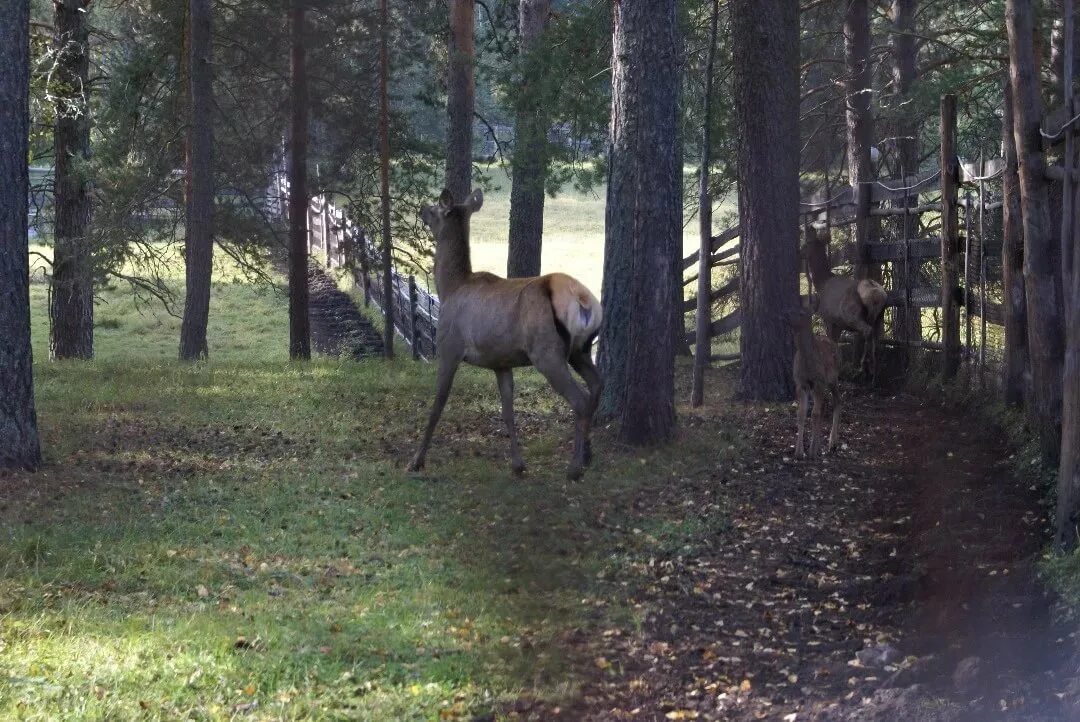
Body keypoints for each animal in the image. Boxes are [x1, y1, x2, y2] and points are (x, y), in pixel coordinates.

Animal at [406, 187, 604, 479]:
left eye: (436, 209)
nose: (421, 208)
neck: (450, 288)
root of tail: (583, 300)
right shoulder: (501, 361)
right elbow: (508, 410)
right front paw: (518, 464)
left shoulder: (449, 348)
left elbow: (438, 404)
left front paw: (417, 460)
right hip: (581, 349)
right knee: (597, 385)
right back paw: (588, 455)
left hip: (547, 352)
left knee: (580, 399)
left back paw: (575, 467)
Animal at [786, 308, 842, 455]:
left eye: (801, 313)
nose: (785, 315)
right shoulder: (800, 383)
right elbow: (801, 414)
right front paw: (799, 452)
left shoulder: (819, 382)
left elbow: (814, 414)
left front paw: (811, 451)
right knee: (824, 407)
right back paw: (820, 445)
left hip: (833, 378)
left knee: (837, 401)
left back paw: (832, 443)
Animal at [803, 229, 885, 382]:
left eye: (807, 242)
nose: (799, 251)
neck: (821, 283)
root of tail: (878, 296)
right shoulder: (838, 323)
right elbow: (835, 344)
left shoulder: (829, 318)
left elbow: (832, 343)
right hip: (878, 317)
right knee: (876, 339)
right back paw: (874, 373)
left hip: (852, 314)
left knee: (868, 331)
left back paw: (864, 365)